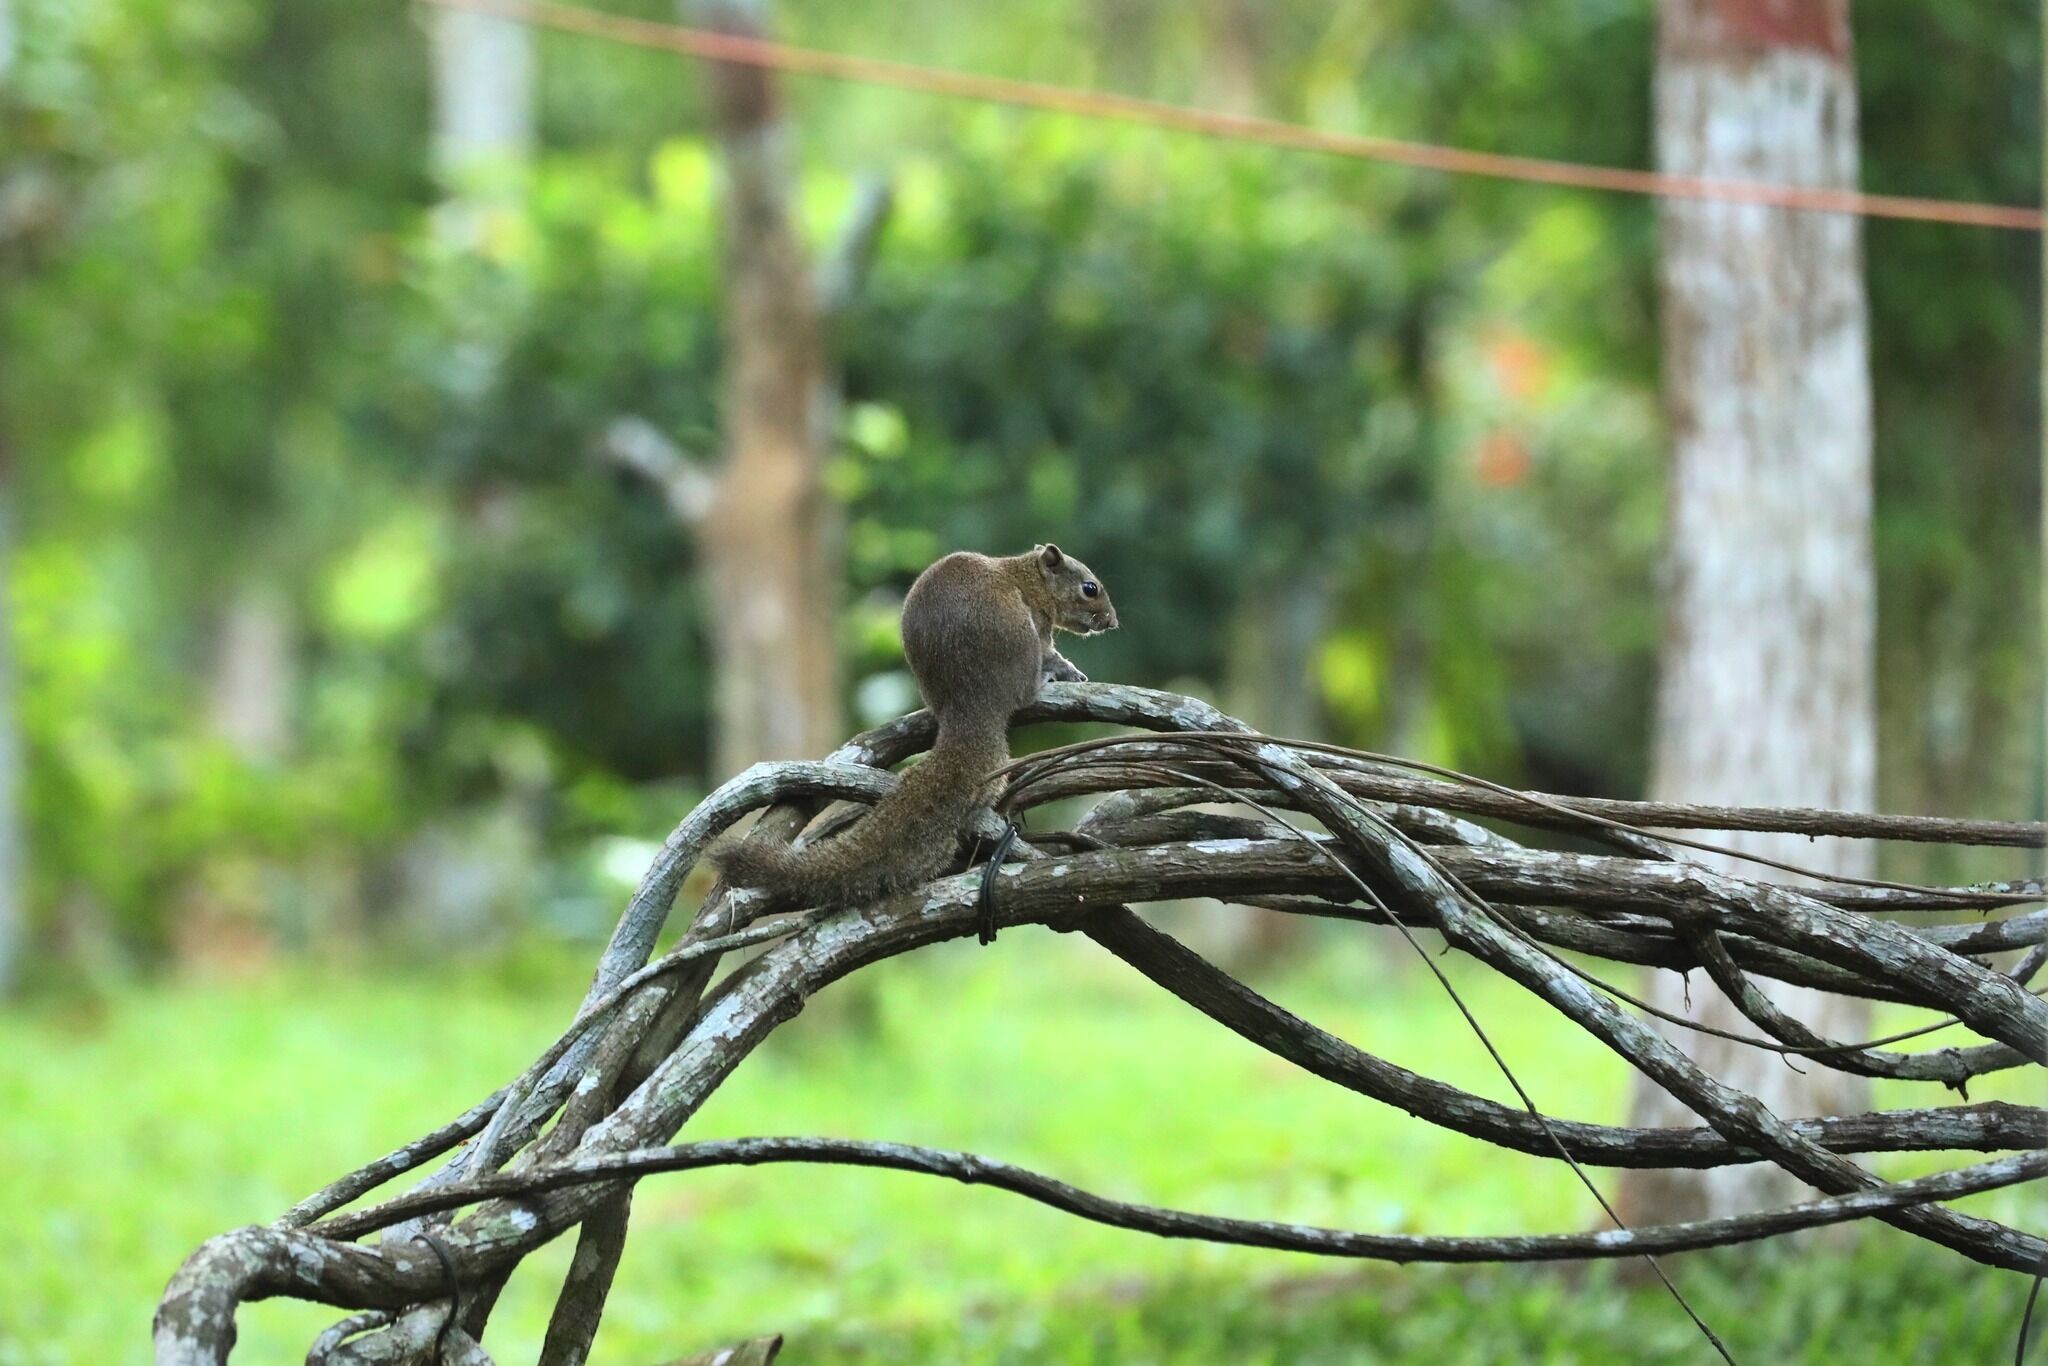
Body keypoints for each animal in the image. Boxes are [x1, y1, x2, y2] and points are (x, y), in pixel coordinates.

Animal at [711, 543, 1118, 909]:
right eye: (1090, 588)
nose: (1112, 622)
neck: (1026, 576)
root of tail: (969, 705)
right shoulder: (1041, 623)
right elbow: (1052, 652)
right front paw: (1068, 670)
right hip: (1020, 644)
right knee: (1025, 690)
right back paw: (1042, 680)